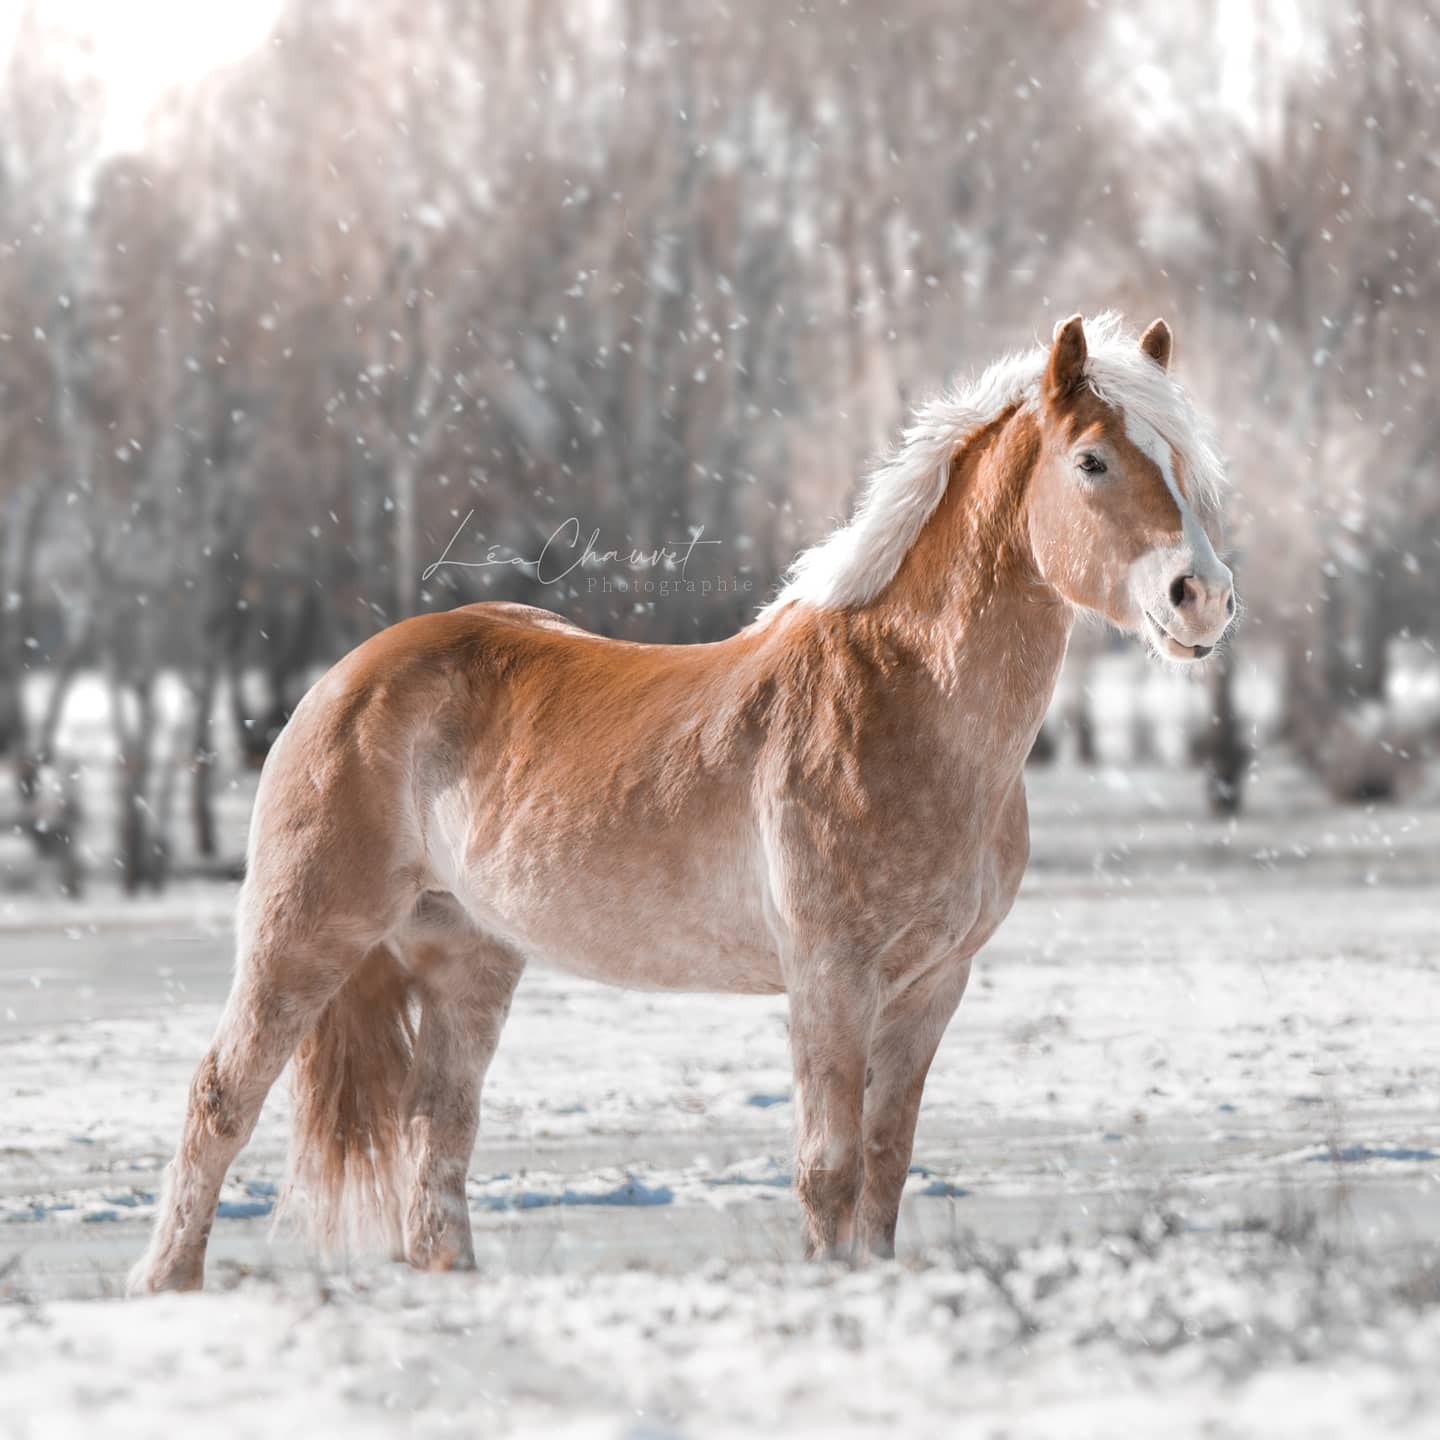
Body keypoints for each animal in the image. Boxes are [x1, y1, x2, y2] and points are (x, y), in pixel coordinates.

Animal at [129, 312, 1236, 1294]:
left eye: (1185, 463)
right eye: (1093, 462)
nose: (1204, 598)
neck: (905, 705)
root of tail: (343, 678)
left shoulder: (933, 986)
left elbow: (886, 1162)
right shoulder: (829, 978)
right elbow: (829, 1170)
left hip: (466, 956)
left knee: (436, 1126)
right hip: (305, 932)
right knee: (221, 1095)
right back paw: (166, 1280)